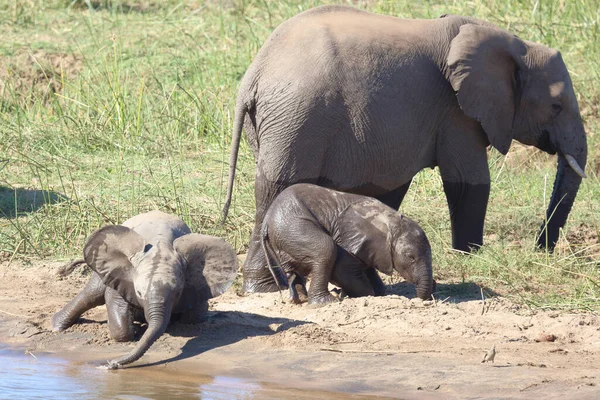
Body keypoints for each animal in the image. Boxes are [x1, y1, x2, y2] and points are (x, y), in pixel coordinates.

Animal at [51, 211, 238, 370]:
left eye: (177, 293)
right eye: (139, 293)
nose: (111, 365)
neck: (161, 244)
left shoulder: (198, 282)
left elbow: (195, 315)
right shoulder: (122, 274)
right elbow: (119, 319)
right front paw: (133, 330)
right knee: (91, 295)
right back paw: (55, 327)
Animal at [260, 185, 434, 306]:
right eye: (410, 257)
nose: (423, 300)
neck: (391, 219)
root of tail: (266, 221)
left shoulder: (371, 248)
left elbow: (369, 271)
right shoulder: (349, 239)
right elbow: (342, 271)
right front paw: (350, 294)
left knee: (293, 269)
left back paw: (300, 299)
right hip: (293, 227)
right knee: (325, 248)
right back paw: (327, 302)